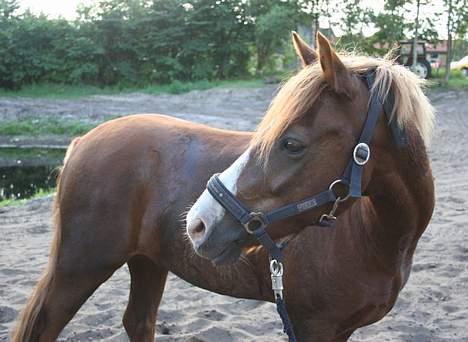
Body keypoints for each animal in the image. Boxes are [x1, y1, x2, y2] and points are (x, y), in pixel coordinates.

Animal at [11, 32, 436, 342]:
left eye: (292, 143)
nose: (198, 224)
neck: (372, 235)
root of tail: (82, 141)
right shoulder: (313, 326)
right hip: (79, 269)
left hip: (147, 262)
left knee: (138, 321)